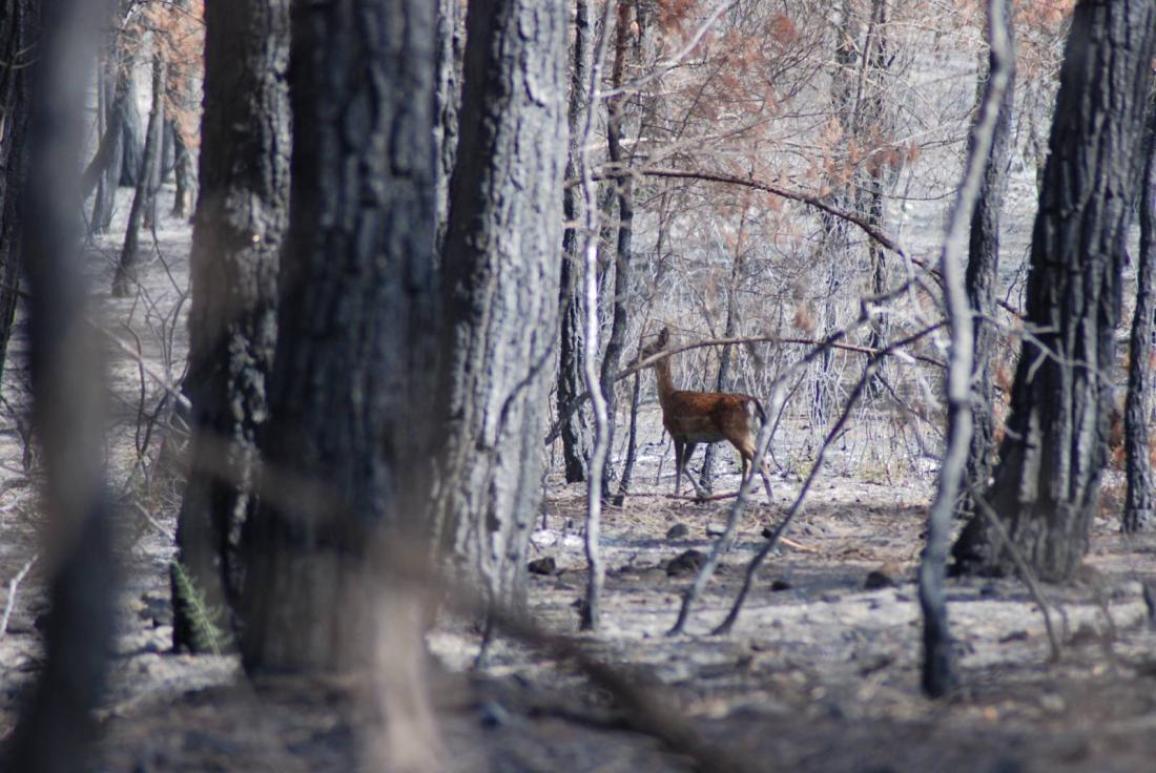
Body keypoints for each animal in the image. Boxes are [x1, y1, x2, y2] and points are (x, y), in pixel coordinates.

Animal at [638, 325, 772, 501]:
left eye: (647, 350)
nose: (632, 362)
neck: (667, 398)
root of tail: (753, 402)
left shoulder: (677, 432)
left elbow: (678, 464)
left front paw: (677, 494)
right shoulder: (693, 439)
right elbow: (684, 464)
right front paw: (701, 492)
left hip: (737, 430)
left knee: (759, 460)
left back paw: (770, 499)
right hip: (748, 431)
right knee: (749, 461)